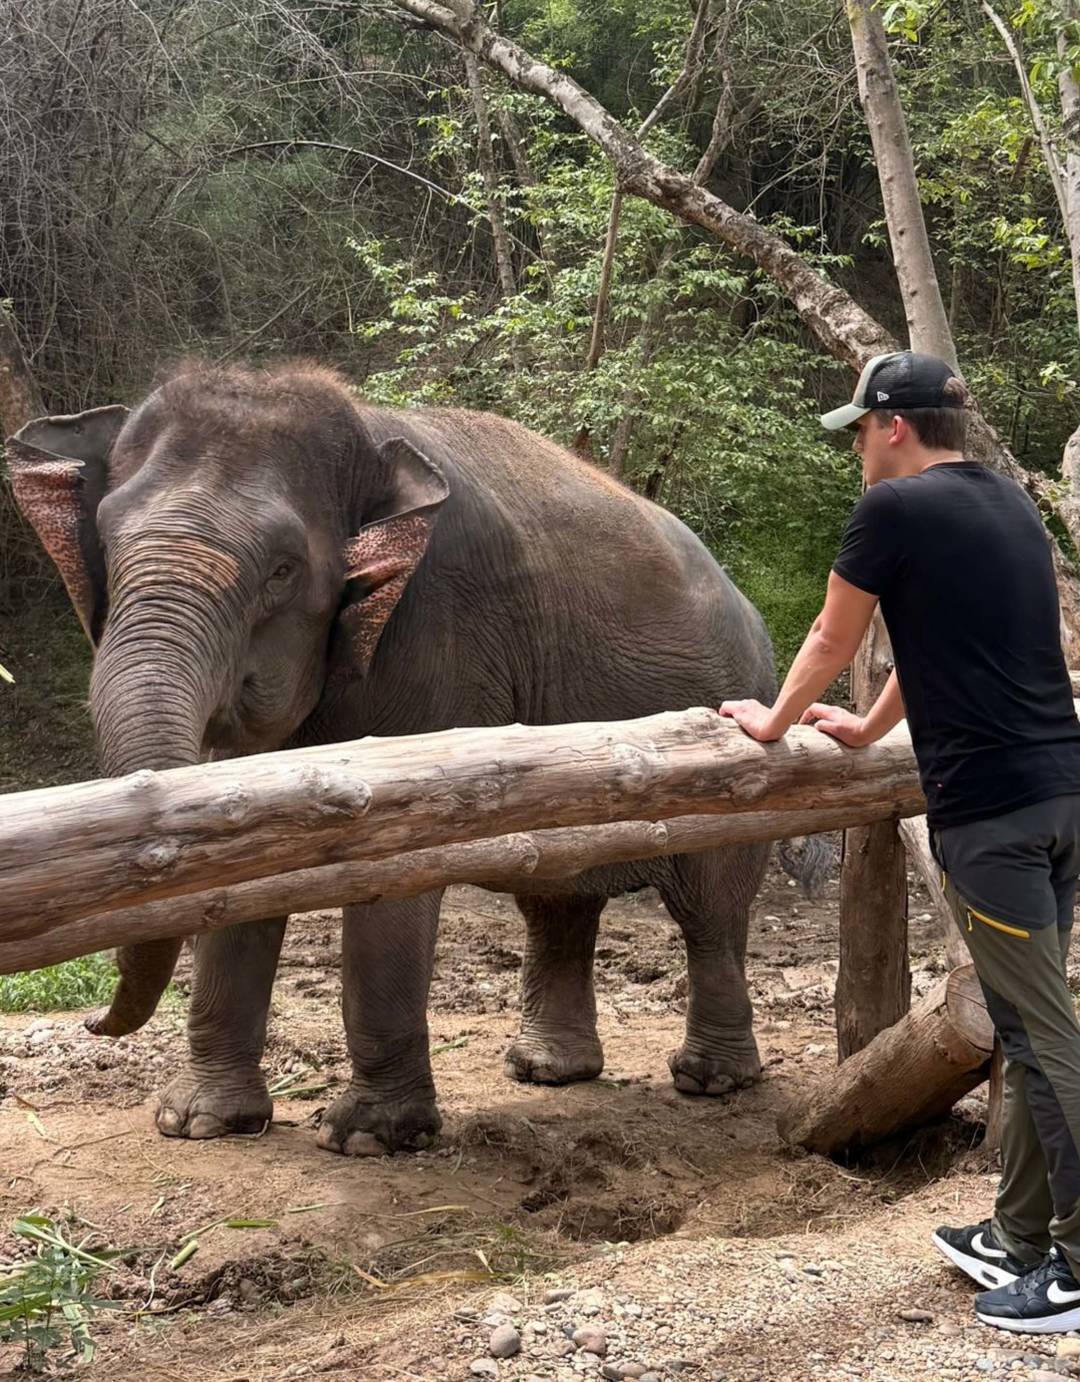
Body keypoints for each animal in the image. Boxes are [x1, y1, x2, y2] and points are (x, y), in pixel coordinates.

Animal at [6, 359, 776, 1155]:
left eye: (283, 570)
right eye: (105, 542)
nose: (93, 1021)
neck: (369, 430)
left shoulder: (440, 635)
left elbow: (398, 869)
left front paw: (370, 1138)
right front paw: (198, 1124)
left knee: (709, 910)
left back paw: (712, 1080)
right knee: (558, 902)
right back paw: (547, 1071)